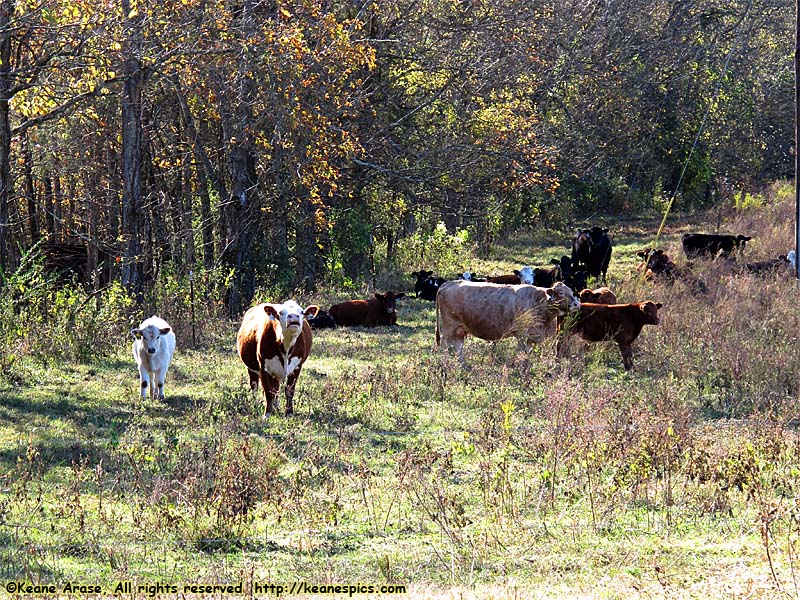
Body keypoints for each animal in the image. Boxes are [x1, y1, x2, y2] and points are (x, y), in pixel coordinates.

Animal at [434, 278, 580, 364]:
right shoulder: (522, 334)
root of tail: (448, 283)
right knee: (446, 347)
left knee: (458, 348)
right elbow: (523, 354)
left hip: (459, 330)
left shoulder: (533, 337)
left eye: (572, 292)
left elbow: (528, 354)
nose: (577, 304)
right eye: (561, 293)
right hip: (449, 327)